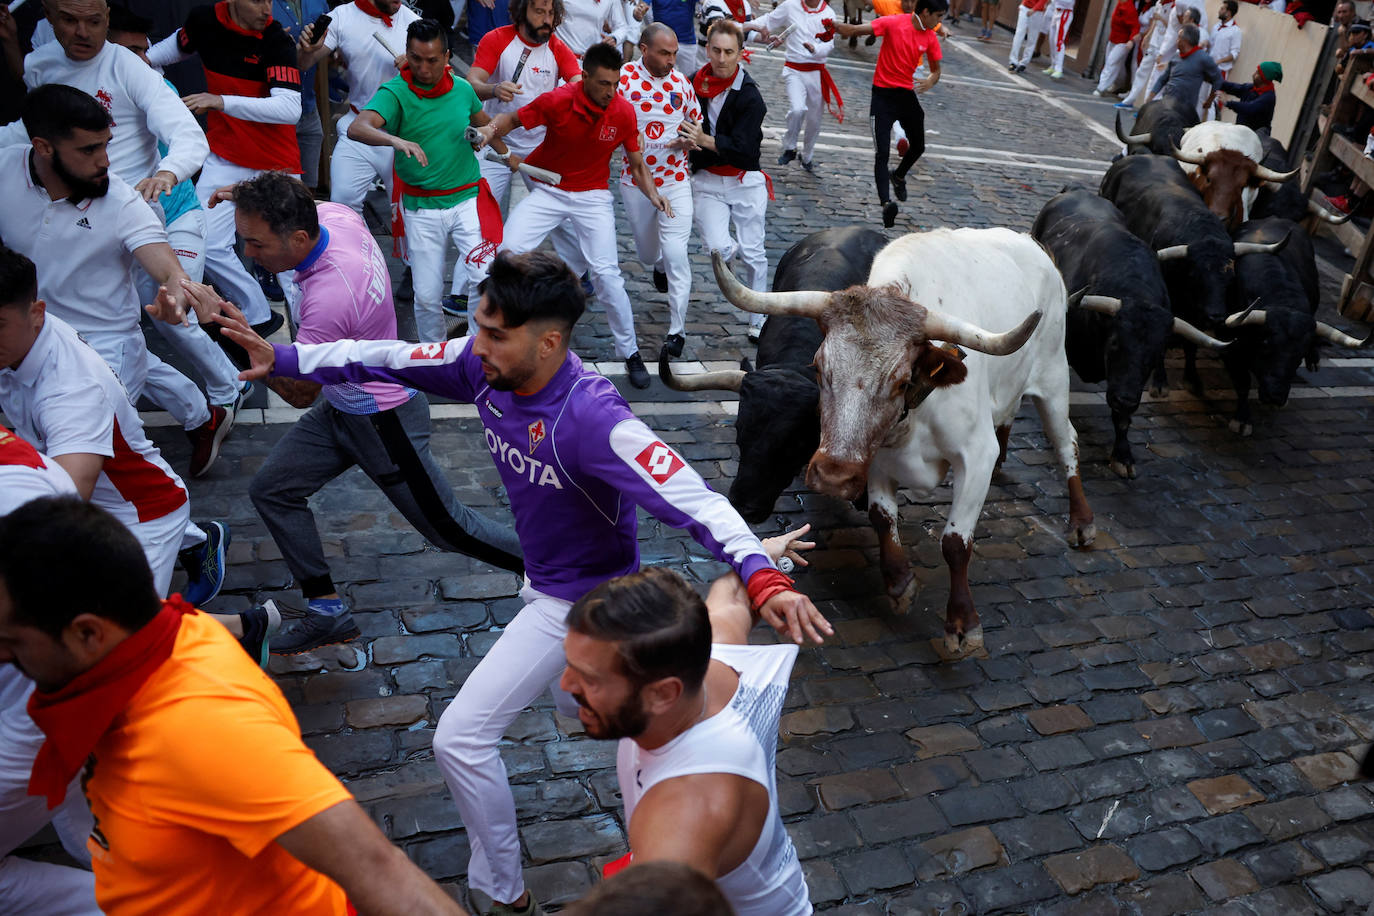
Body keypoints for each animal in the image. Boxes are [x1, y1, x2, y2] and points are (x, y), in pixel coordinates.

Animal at [708, 230, 1093, 659]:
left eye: (901, 380)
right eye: (820, 368)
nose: (832, 476)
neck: (916, 415)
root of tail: (1030, 244)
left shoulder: (976, 455)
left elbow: (956, 543)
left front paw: (963, 624)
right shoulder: (872, 458)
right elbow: (882, 517)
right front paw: (899, 582)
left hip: (1054, 379)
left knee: (1066, 442)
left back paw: (1082, 522)